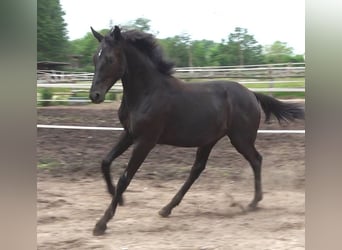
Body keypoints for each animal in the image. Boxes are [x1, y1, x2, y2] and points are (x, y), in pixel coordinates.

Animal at [88, 26, 304, 235]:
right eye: (95, 58)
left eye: (109, 59)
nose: (95, 95)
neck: (147, 93)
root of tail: (251, 93)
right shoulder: (129, 134)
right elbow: (105, 161)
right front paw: (118, 198)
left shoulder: (145, 141)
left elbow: (125, 178)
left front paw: (101, 224)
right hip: (209, 140)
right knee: (197, 169)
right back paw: (167, 208)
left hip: (240, 139)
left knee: (256, 160)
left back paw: (253, 203)